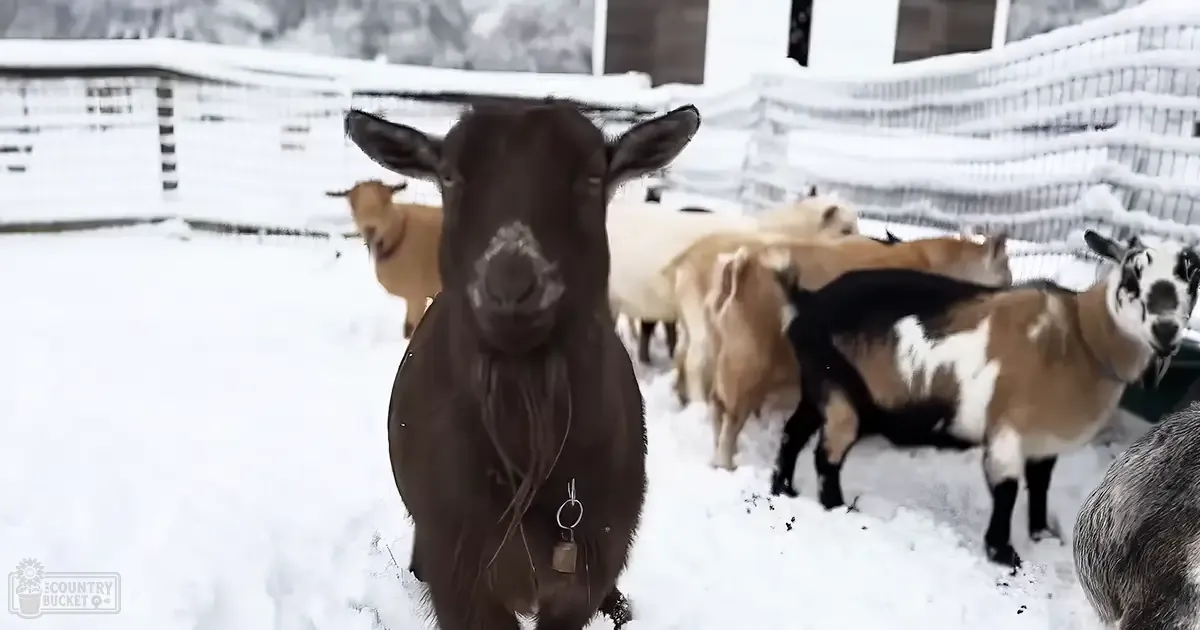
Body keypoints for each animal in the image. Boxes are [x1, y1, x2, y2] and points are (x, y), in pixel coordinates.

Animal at [772, 230, 1199, 569]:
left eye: (1191, 276)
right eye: (1131, 273)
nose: (1165, 331)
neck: (1081, 338)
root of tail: (808, 301)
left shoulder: (1043, 440)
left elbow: (1040, 486)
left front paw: (1042, 535)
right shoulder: (1008, 428)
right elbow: (1007, 492)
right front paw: (1004, 555)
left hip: (819, 382)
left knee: (794, 433)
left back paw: (784, 489)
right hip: (840, 391)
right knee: (826, 455)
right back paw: (836, 507)